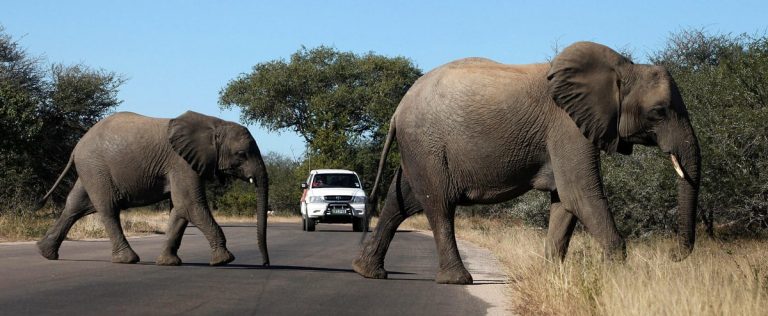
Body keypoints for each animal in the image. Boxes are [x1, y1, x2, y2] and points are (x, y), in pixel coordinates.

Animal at [35, 111, 270, 266]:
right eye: (241, 154)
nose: (265, 264)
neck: (214, 123)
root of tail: (77, 146)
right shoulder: (181, 163)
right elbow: (190, 204)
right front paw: (224, 260)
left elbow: (180, 210)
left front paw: (167, 263)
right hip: (96, 167)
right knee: (108, 209)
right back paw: (127, 259)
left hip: (90, 169)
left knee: (75, 206)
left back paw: (45, 253)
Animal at [354, 40, 704, 286]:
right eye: (658, 112)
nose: (672, 255)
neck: (621, 69)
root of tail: (397, 110)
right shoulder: (567, 127)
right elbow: (580, 194)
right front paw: (615, 279)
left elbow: (565, 203)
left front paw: (552, 278)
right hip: (427, 145)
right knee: (438, 205)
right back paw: (457, 280)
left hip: (419, 147)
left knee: (402, 201)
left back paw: (367, 271)